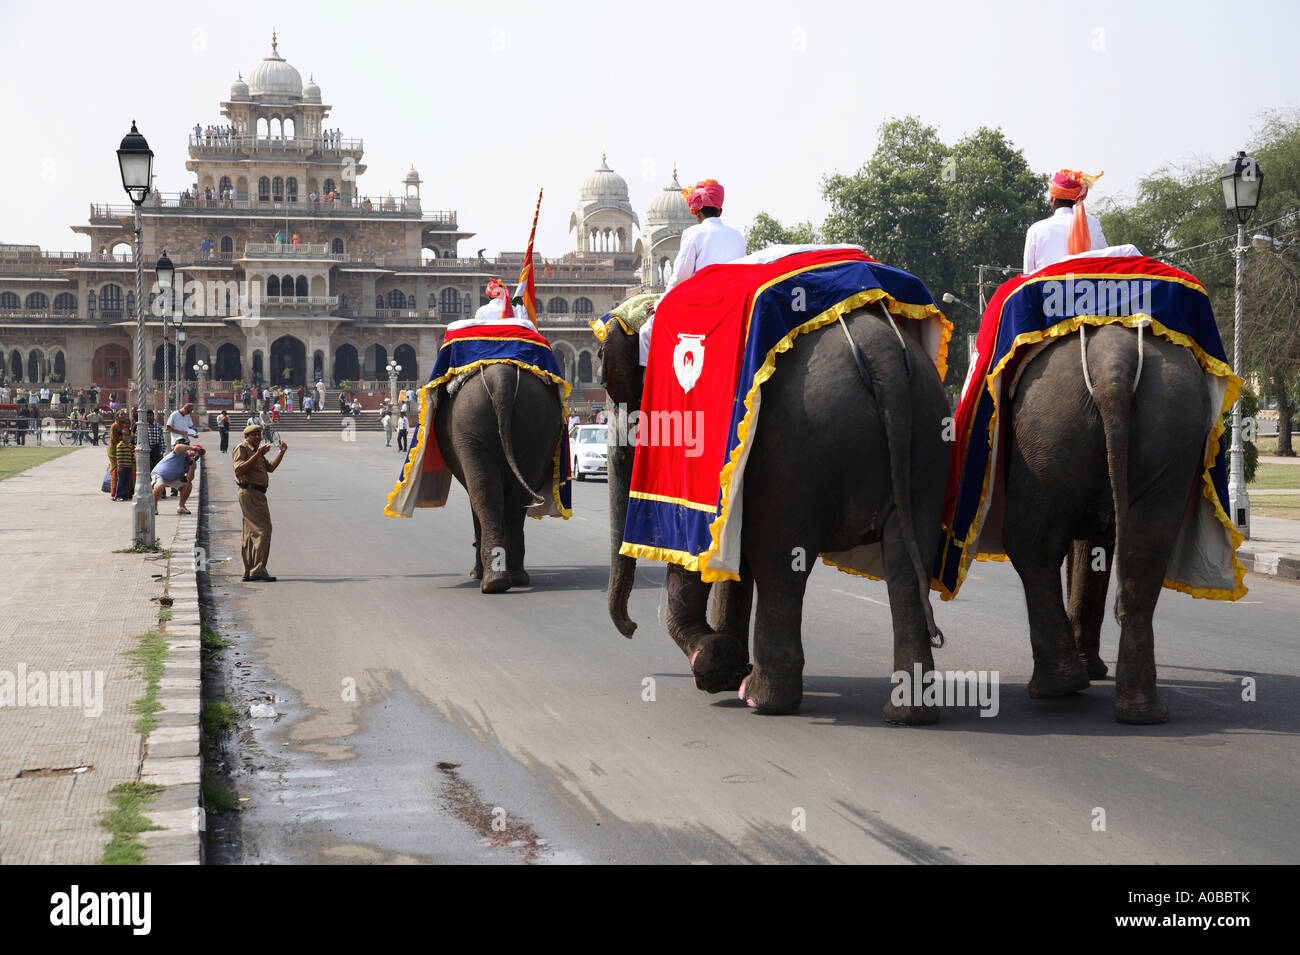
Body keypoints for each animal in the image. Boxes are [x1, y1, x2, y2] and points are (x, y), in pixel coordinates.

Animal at [431, 361, 564, 595]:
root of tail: (501, 377)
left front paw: (476, 572)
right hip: (537, 423)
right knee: (514, 501)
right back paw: (513, 577)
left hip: (467, 424)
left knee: (484, 495)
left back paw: (491, 580)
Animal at [598, 248, 956, 722]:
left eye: (607, 383)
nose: (632, 627)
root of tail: (881, 353)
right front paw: (724, 663)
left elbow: (697, 551)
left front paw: (714, 664)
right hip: (927, 434)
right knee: (904, 561)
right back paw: (909, 714)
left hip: (798, 448)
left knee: (781, 563)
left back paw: (763, 699)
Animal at [993, 327, 1216, 722]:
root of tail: (1113, 358)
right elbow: (1095, 550)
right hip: (1170, 424)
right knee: (1147, 548)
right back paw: (1142, 712)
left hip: (1047, 427)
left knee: (1027, 544)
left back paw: (1056, 688)